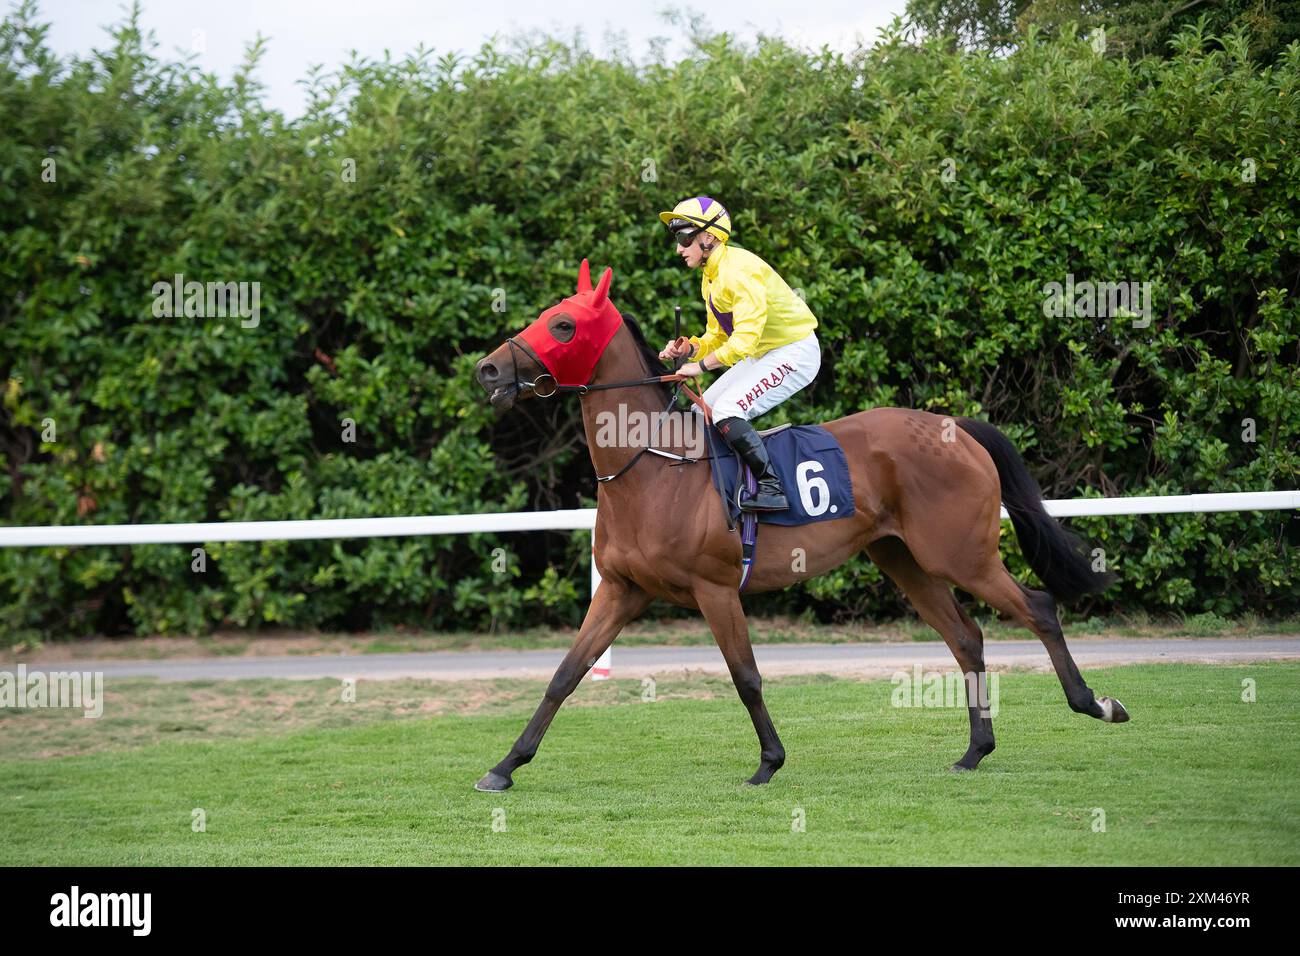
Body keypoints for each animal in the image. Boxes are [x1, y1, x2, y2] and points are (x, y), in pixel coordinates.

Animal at [470, 260, 1128, 790]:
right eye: (543, 315)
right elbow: (565, 674)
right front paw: (504, 767)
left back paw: (1095, 704)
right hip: (903, 559)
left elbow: (746, 676)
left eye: (563, 325)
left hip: (961, 555)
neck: (652, 466)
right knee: (966, 636)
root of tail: (957, 426)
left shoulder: (715, 589)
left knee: (1037, 608)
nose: (488, 371)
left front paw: (769, 762)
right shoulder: (621, 589)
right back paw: (975, 751)